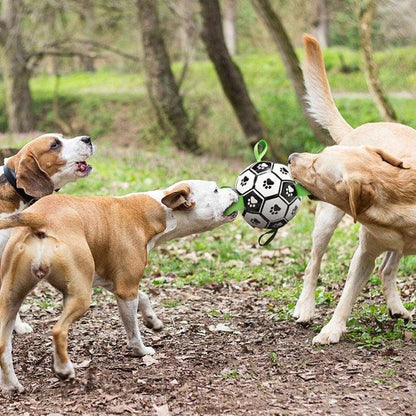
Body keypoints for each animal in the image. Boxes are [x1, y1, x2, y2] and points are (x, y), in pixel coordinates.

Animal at [0, 180, 237, 394]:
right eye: (216, 190)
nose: (235, 190)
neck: (155, 211)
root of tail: (39, 217)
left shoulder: (116, 283)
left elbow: (144, 296)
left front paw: (153, 321)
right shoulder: (126, 290)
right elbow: (133, 329)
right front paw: (141, 350)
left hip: (11, 297)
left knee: (4, 343)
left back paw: (13, 386)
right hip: (80, 296)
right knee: (58, 330)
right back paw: (64, 369)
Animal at [290, 145, 416, 344]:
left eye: (315, 168)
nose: (291, 157)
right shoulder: (364, 255)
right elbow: (347, 296)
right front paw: (331, 330)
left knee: (386, 269)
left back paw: (397, 308)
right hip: (326, 223)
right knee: (313, 265)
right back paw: (305, 308)